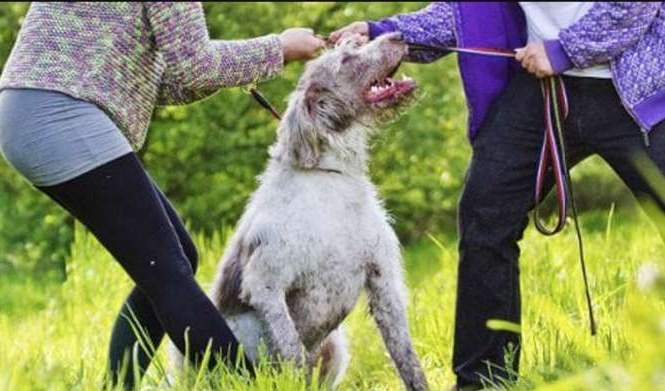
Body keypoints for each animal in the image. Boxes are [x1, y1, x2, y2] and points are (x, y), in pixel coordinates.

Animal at [182, 33, 426, 391]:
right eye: (346, 60)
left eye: (354, 44)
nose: (397, 35)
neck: (330, 177)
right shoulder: (265, 283)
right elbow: (291, 350)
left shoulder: (384, 281)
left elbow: (408, 360)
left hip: (335, 348)